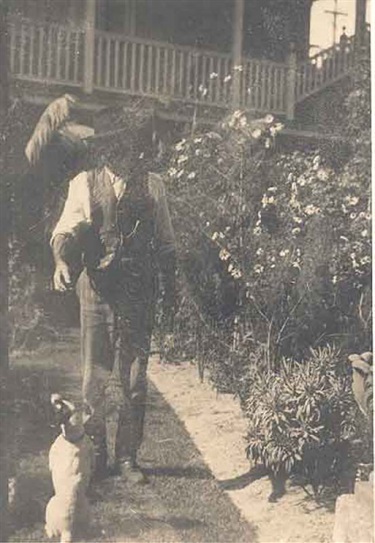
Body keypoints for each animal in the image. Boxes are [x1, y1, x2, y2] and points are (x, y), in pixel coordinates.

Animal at [46, 396, 95, 543]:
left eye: (61, 405)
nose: (55, 396)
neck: (73, 438)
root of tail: (67, 530)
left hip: (49, 505)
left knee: (49, 529)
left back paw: (48, 531)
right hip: (88, 511)